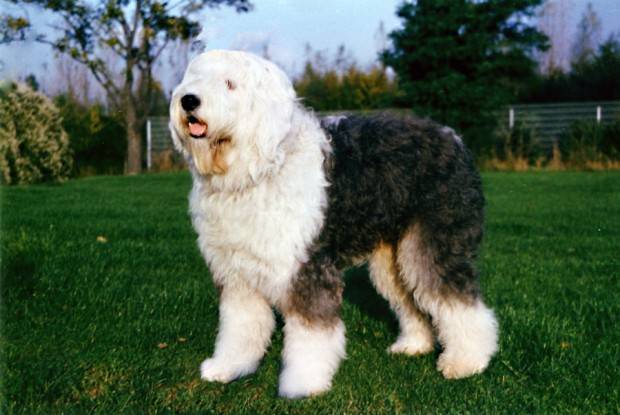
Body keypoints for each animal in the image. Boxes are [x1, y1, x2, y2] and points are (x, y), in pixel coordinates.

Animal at [170, 49, 498, 400]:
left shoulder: (307, 267)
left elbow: (311, 333)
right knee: (411, 299)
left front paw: (302, 384)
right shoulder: (238, 273)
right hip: (393, 258)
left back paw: (467, 361)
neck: (260, 167)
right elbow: (239, 326)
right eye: (195, 77)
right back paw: (414, 345)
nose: (188, 100)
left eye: (230, 83)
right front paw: (227, 367)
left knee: (457, 300)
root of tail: (454, 138)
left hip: (435, 243)